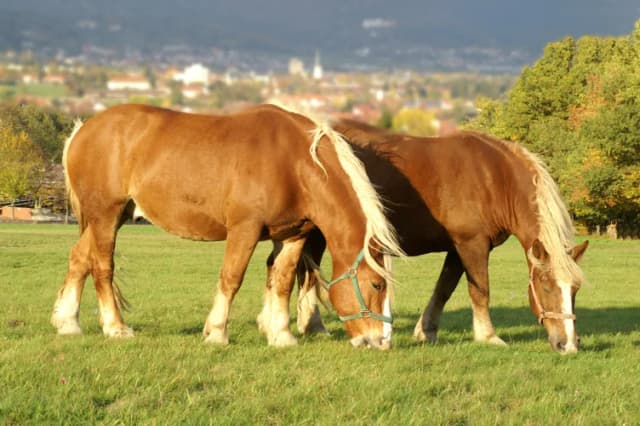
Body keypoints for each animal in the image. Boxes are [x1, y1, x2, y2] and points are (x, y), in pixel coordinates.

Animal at [51, 104, 403, 349]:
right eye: (377, 285)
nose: (382, 341)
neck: (295, 164)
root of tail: (82, 130)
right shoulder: (244, 229)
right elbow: (232, 278)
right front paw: (217, 332)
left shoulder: (293, 235)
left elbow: (283, 281)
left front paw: (281, 335)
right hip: (105, 217)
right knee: (102, 267)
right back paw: (115, 327)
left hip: (107, 218)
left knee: (79, 259)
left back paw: (68, 323)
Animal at [282, 118, 588, 354]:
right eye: (546, 287)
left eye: (575, 289)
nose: (568, 344)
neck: (495, 179)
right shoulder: (472, 244)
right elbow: (480, 291)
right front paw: (488, 336)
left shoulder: (459, 248)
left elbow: (444, 289)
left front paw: (425, 331)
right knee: (307, 274)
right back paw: (313, 326)